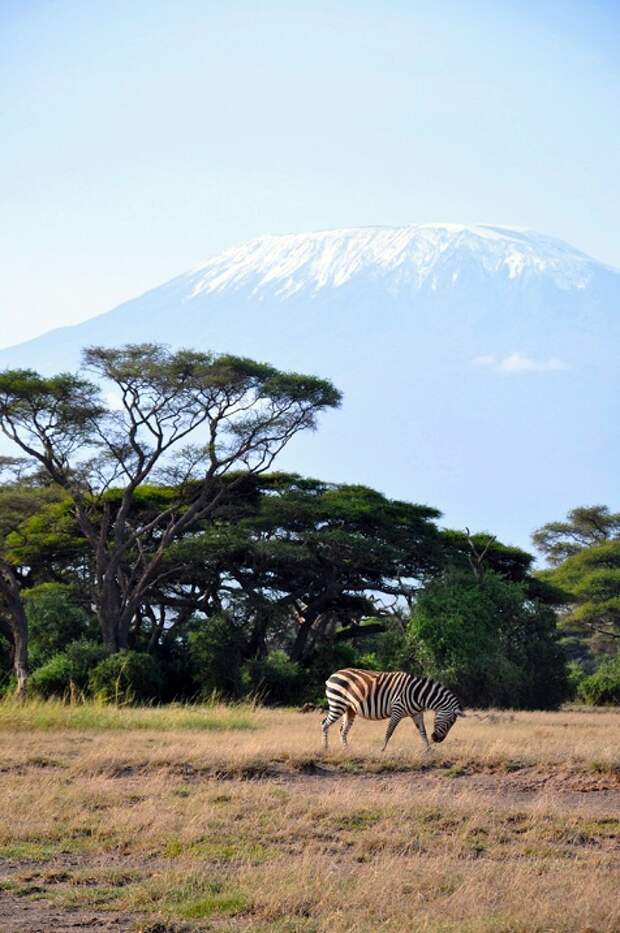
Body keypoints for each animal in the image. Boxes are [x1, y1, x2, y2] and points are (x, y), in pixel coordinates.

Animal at [322, 668, 462, 748]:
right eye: (451, 722)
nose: (437, 739)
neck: (418, 694)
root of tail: (332, 675)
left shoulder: (416, 713)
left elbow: (423, 732)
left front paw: (429, 751)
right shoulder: (397, 710)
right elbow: (389, 731)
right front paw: (382, 750)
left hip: (349, 709)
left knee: (342, 730)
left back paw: (347, 750)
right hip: (337, 703)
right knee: (325, 723)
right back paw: (326, 748)